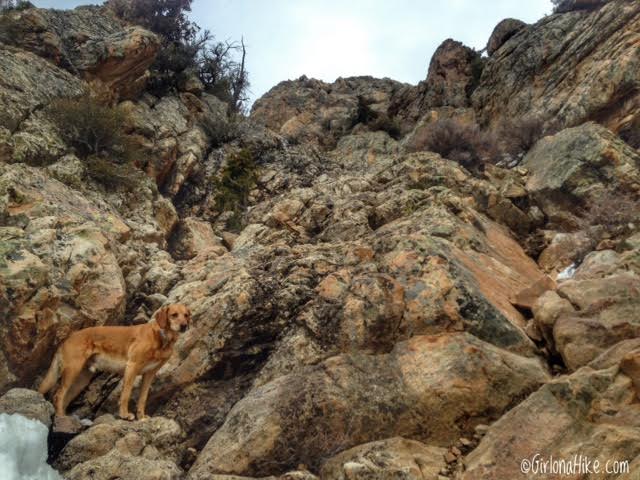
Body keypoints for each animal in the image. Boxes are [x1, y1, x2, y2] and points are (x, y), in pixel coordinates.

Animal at [38, 304, 190, 420]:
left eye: (186, 315)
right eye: (174, 315)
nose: (184, 326)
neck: (163, 338)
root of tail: (66, 340)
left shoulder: (149, 375)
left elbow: (143, 398)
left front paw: (141, 417)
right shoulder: (132, 367)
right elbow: (126, 395)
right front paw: (124, 415)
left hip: (81, 379)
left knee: (65, 398)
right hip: (72, 371)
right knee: (58, 395)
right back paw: (60, 416)